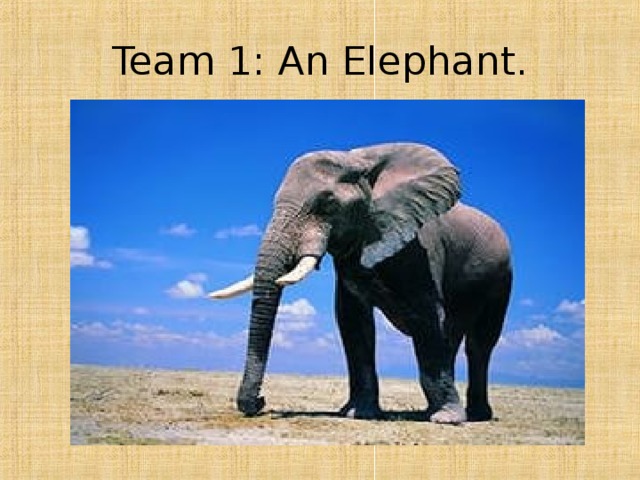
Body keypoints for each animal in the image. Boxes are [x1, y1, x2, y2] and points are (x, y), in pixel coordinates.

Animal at [209, 142, 512, 424]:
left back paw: (475, 415)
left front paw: (447, 420)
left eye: (328, 204)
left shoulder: (421, 250)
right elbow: (353, 321)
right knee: (451, 336)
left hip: (502, 278)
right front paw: (359, 413)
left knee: (479, 343)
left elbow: (426, 317)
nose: (260, 402)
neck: (361, 160)